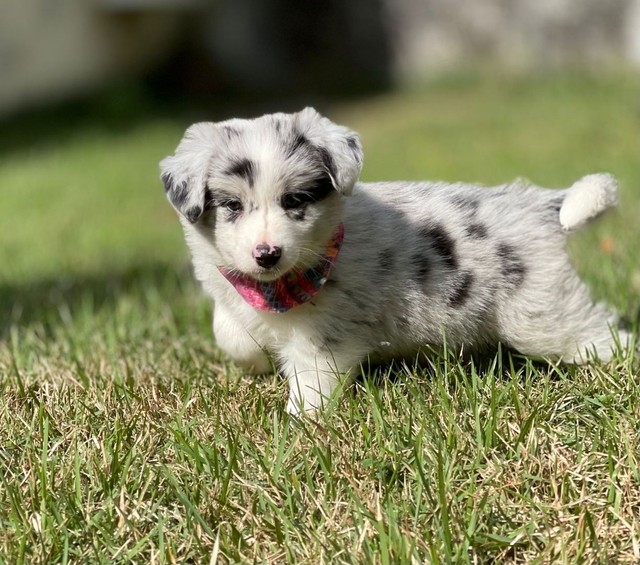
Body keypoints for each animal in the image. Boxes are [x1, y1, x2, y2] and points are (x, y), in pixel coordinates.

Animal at [160, 107, 632, 414]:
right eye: (232, 206)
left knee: (603, 334)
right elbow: (230, 332)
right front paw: (254, 360)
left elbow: (311, 380)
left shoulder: (325, 336)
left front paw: (300, 427)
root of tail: (543, 205)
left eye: (294, 200)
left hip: (542, 316)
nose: (267, 254)